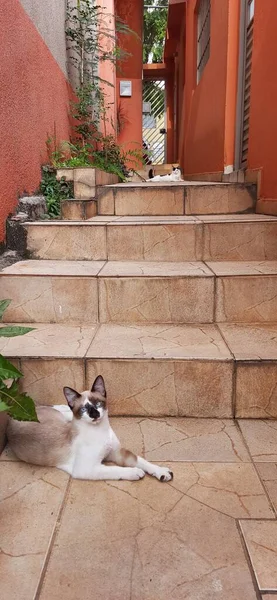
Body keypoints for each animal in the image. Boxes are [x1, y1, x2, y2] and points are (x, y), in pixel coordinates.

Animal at [6, 378, 172, 486]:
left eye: (97, 404)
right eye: (84, 409)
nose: (95, 414)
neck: (100, 430)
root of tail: (13, 416)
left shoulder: (117, 453)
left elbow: (142, 461)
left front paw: (162, 472)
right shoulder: (87, 469)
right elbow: (115, 469)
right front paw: (135, 472)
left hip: (62, 417)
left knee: (63, 410)